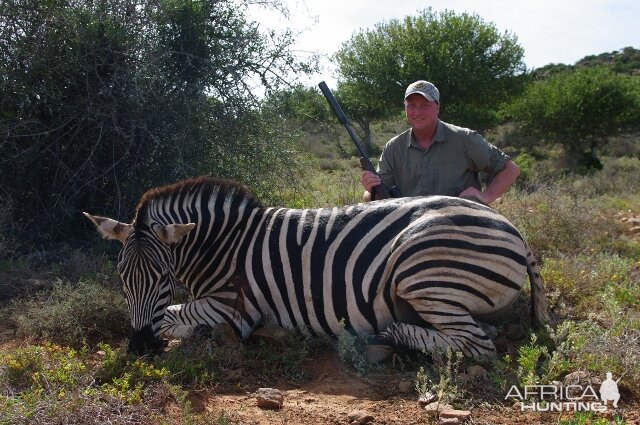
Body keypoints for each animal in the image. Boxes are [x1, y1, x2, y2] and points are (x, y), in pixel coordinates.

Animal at [82, 176, 548, 358]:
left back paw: (390, 336)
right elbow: (171, 317)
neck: (223, 243)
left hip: (419, 270)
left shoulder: (234, 306)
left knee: (476, 345)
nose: (139, 347)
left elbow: (174, 316)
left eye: (162, 278)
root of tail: (516, 231)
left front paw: (190, 333)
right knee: (477, 333)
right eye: (122, 280)